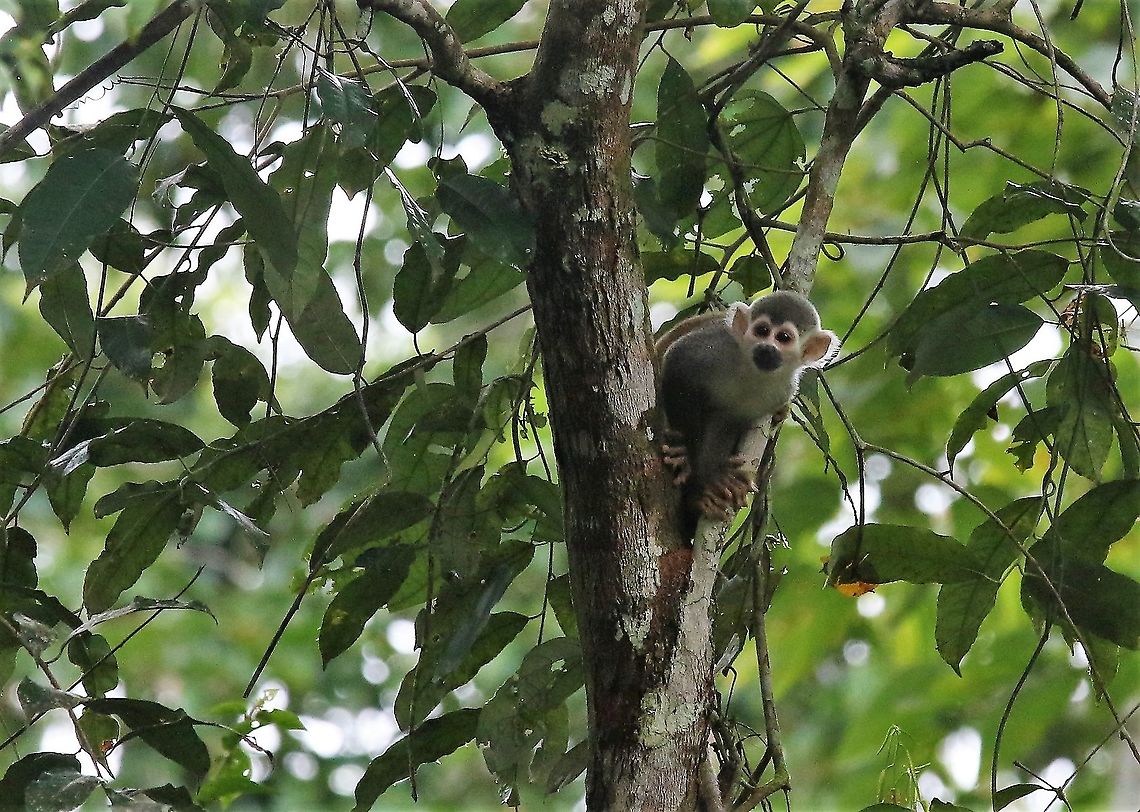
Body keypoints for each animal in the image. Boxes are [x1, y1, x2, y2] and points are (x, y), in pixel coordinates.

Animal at [656, 290, 838, 532]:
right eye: (762, 331)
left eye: (784, 337)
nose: (766, 348)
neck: (752, 372)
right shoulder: (716, 346)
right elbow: (678, 364)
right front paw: (685, 455)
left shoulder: (782, 391)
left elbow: (734, 422)